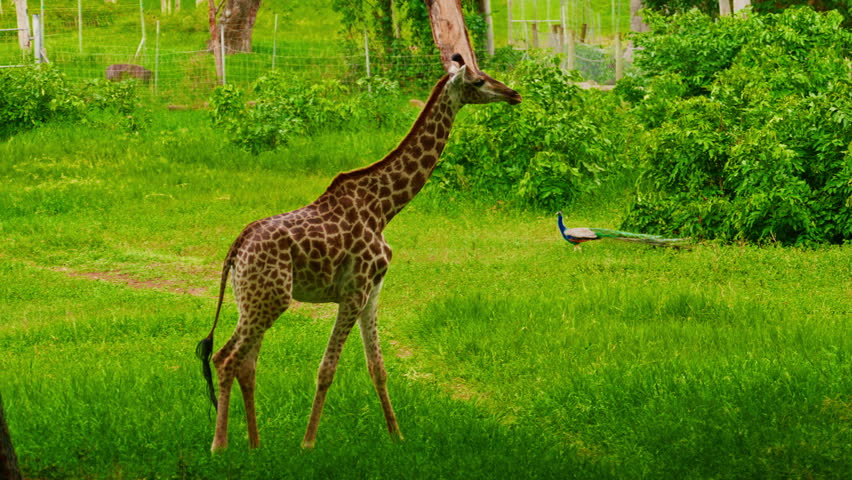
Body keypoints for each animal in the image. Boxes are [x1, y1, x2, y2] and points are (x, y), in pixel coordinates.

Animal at [196, 55, 521, 451]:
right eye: (478, 81)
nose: (514, 94)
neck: (384, 207)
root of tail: (235, 250)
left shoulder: (373, 290)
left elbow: (377, 367)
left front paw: (397, 435)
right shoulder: (353, 291)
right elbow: (326, 368)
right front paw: (308, 443)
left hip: (255, 300)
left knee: (246, 363)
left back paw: (256, 445)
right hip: (270, 299)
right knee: (225, 358)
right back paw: (219, 446)